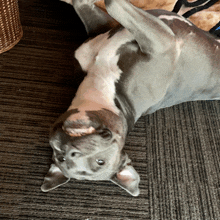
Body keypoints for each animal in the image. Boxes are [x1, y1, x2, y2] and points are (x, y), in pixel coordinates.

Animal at [40, 0, 218, 196]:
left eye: (100, 162)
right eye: (61, 159)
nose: (70, 152)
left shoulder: (108, 27)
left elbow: (97, 4)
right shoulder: (165, 44)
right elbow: (113, 5)